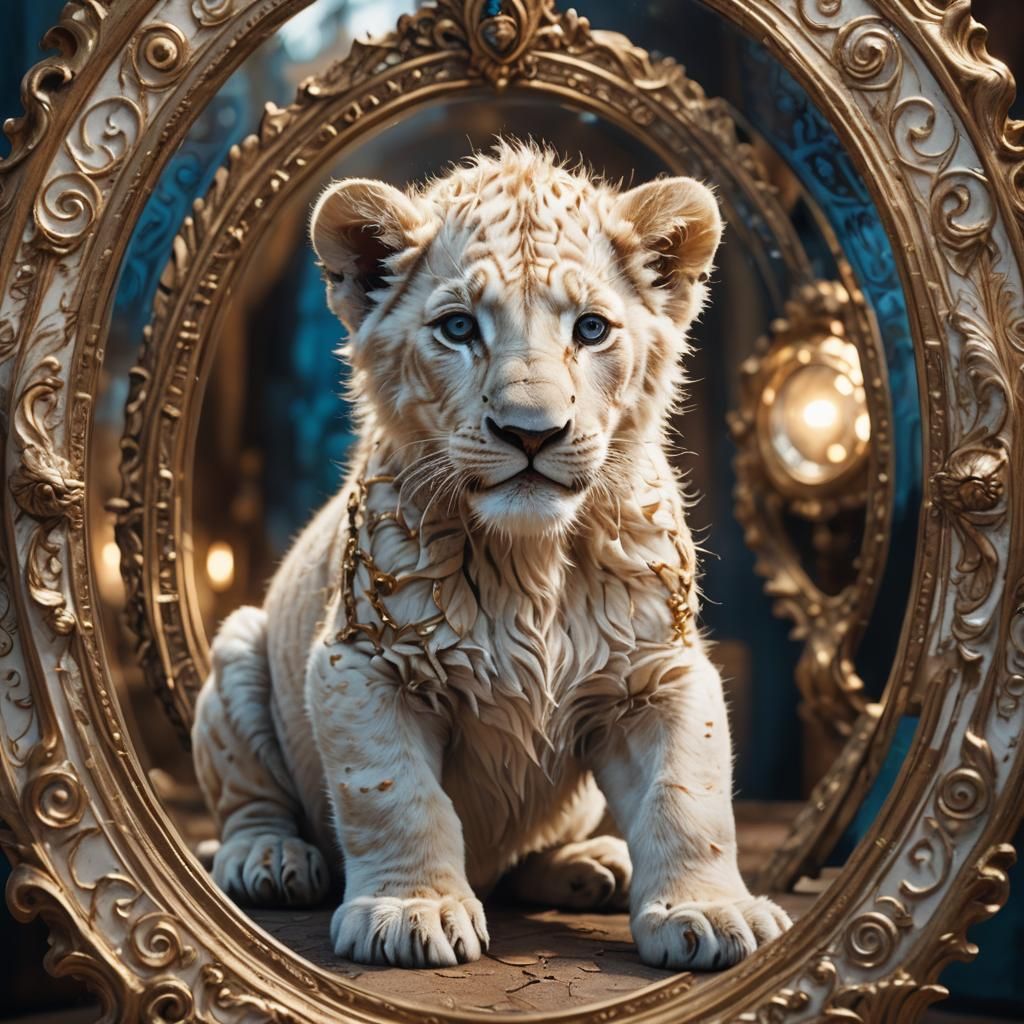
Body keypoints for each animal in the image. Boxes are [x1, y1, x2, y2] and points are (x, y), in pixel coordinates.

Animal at [192, 141, 791, 971]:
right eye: (457, 328)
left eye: (592, 329)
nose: (530, 431)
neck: (532, 560)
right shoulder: (362, 663)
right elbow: (396, 796)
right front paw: (412, 912)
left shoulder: (660, 672)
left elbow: (688, 796)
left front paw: (708, 913)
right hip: (238, 654)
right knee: (247, 800)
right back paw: (270, 859)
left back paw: (591, 866)